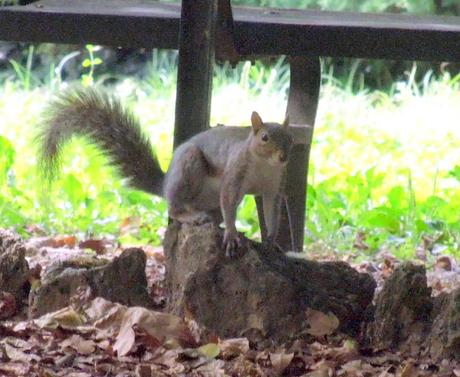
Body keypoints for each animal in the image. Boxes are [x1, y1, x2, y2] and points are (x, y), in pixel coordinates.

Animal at [37, 86, 292, 254]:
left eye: (290, 138)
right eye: (264, 137)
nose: (283, 156)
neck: (264, 166)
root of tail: (166, 183)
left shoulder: (273, 187)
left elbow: (272, 210)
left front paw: (271, 240)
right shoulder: (235, 171)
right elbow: (229, 200)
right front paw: (231, 234)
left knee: (212, 213)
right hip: (189, 168)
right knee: (174, 209)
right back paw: (193, 217)